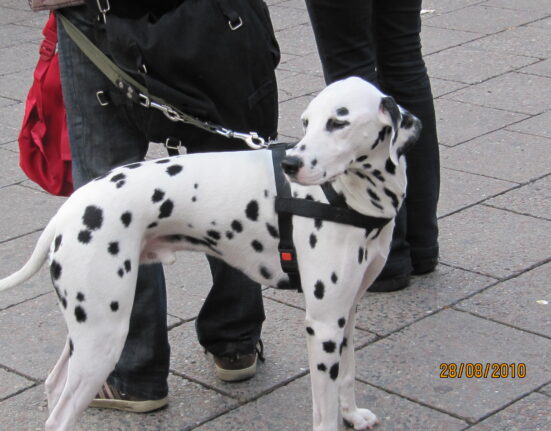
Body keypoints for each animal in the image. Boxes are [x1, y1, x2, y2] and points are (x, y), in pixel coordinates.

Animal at [1, 77, 422, 431]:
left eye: (338, 122)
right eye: (306, 122)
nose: (291, 164)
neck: (347, 197)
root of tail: (68, 209)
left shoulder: (344, 314)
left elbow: (347, 374)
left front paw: (352, 414)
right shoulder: (322, 325)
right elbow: (324, 409)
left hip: (90, 329)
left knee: (54, 384)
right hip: (102, 336)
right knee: (59, 415)